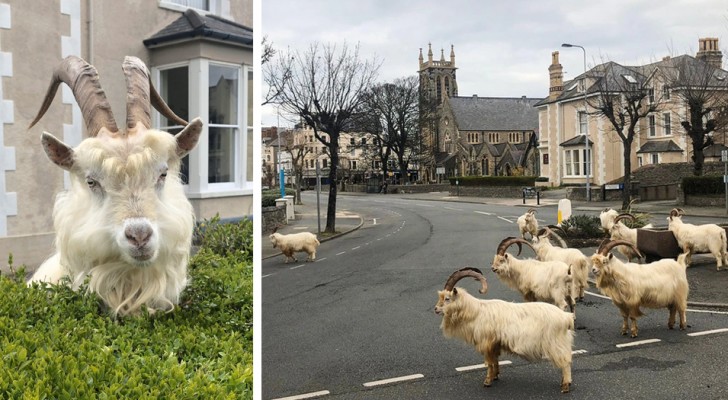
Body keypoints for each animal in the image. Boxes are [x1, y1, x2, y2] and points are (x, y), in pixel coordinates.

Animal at [432, 268, 576, 392]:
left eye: (447, 298)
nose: (436, 309)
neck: (476, 312)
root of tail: (566, 318)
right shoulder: (495, 343)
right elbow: (495, 361)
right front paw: (495, 376)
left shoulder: (487, 342)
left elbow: (490, 363)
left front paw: (487, 381)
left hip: (556, 343)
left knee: (565, 363)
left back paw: (565, 385)